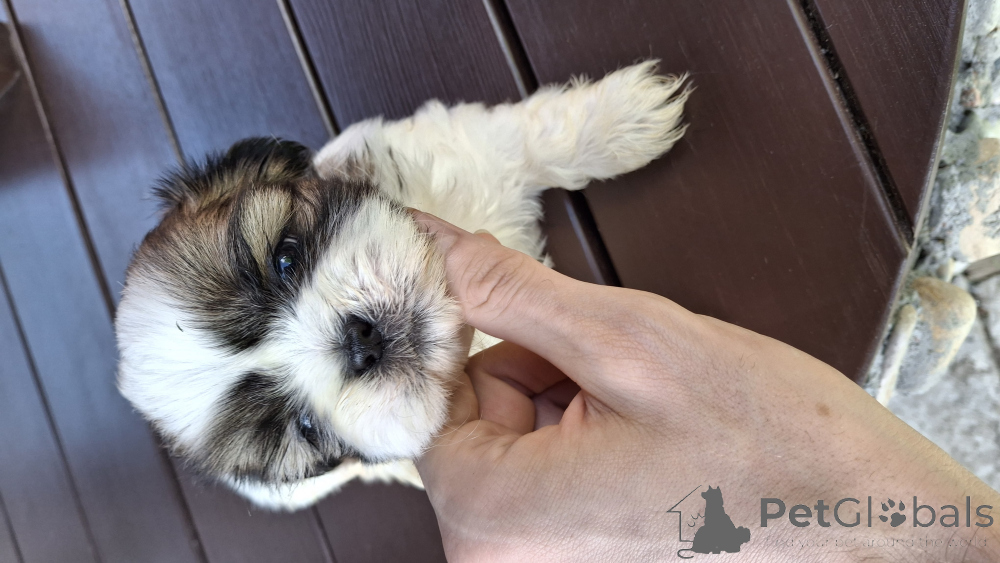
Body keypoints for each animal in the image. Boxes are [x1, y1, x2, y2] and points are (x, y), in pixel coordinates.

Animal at [115, 60, 689, 510]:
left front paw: (626, 118)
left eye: (285, 258)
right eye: (306, 427)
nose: (358, 343)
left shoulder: (446, 147)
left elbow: (532, 138)